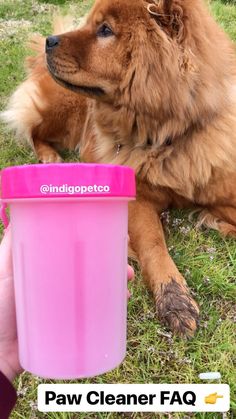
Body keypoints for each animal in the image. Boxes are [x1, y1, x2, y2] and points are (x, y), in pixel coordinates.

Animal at [1, 0, 236, 336]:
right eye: (94, 24)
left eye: (105, 30)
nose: (50, 40)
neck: (166, 136)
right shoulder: (138, 201)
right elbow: (154, 245)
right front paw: (175, 299)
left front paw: (216, 221)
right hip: (65, 111)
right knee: (34, 131)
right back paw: (49, 156)